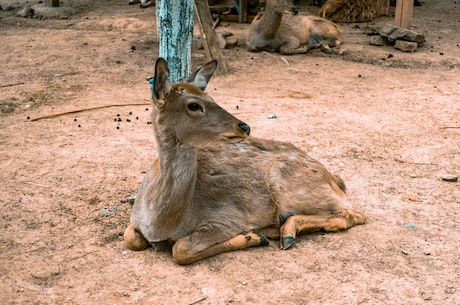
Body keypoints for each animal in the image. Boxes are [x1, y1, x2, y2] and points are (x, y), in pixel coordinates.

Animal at [123, 57, 366, 264]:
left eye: (212, 98)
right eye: (193, 105)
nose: (244, 126)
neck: (160, 222)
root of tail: (335, 180)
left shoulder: (227, 218)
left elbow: (180, 249)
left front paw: (251, 237)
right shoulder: (134, 222)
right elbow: (130, 239)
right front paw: (254, 236)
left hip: (289, 184)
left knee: (354, 214)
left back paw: (285, 233)